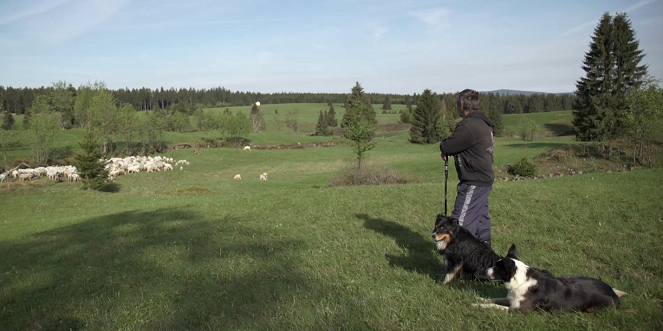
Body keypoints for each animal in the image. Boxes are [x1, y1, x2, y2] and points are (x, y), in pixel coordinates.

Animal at [472, 246, 628, 314]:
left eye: (496, 267)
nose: (484, 271)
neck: (519, 281)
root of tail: (613, 293)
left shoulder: (519, 309)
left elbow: (494, 306)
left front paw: (478, 305)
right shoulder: (511, 298)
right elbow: (494, 299)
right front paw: (479, 299)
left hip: (593, 308)